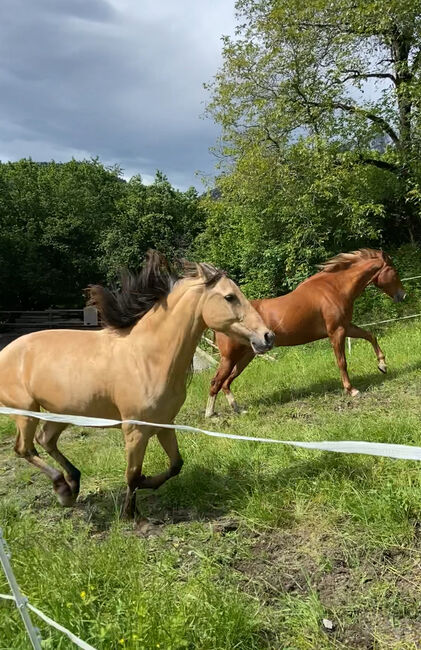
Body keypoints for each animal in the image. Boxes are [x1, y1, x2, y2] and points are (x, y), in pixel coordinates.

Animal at [0, 248, 274, 516]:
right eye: (230, 297)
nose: (267, 337)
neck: (146, 358)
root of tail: (6, 352)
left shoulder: (165, 424)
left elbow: (176, 464)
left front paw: (147, 482)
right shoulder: (135, 430)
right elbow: (132, 474)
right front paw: (131, 514)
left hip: (64, 412)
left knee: (45, 440)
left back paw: (71, 486)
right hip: (25, 412)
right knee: (24, 449)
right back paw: (62, 487)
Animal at [205, 248, 406, 416]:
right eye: (394, 271)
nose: (403, 296)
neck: (335, 288)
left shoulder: (346, 327)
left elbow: (370, 336)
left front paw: (382, 365)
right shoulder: (337, 332)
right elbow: (342, 362)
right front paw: (351, 390)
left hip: (246, 356)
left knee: (226, 382)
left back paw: (237, 409)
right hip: (230, 357)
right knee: (216, 382)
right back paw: (211, 414)